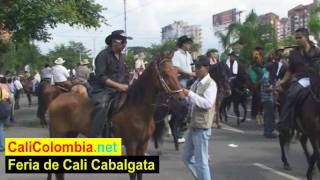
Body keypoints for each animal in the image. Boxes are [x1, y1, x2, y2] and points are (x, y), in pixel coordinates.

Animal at [46, 57, 184, 180]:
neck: (137, 109)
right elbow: (133, 174)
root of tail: (56, 100)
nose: (182, 97)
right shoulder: (131, 144)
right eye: (165, 73)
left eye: (176, 72)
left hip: (70, 135)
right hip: (60, 135)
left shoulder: (142, 144)